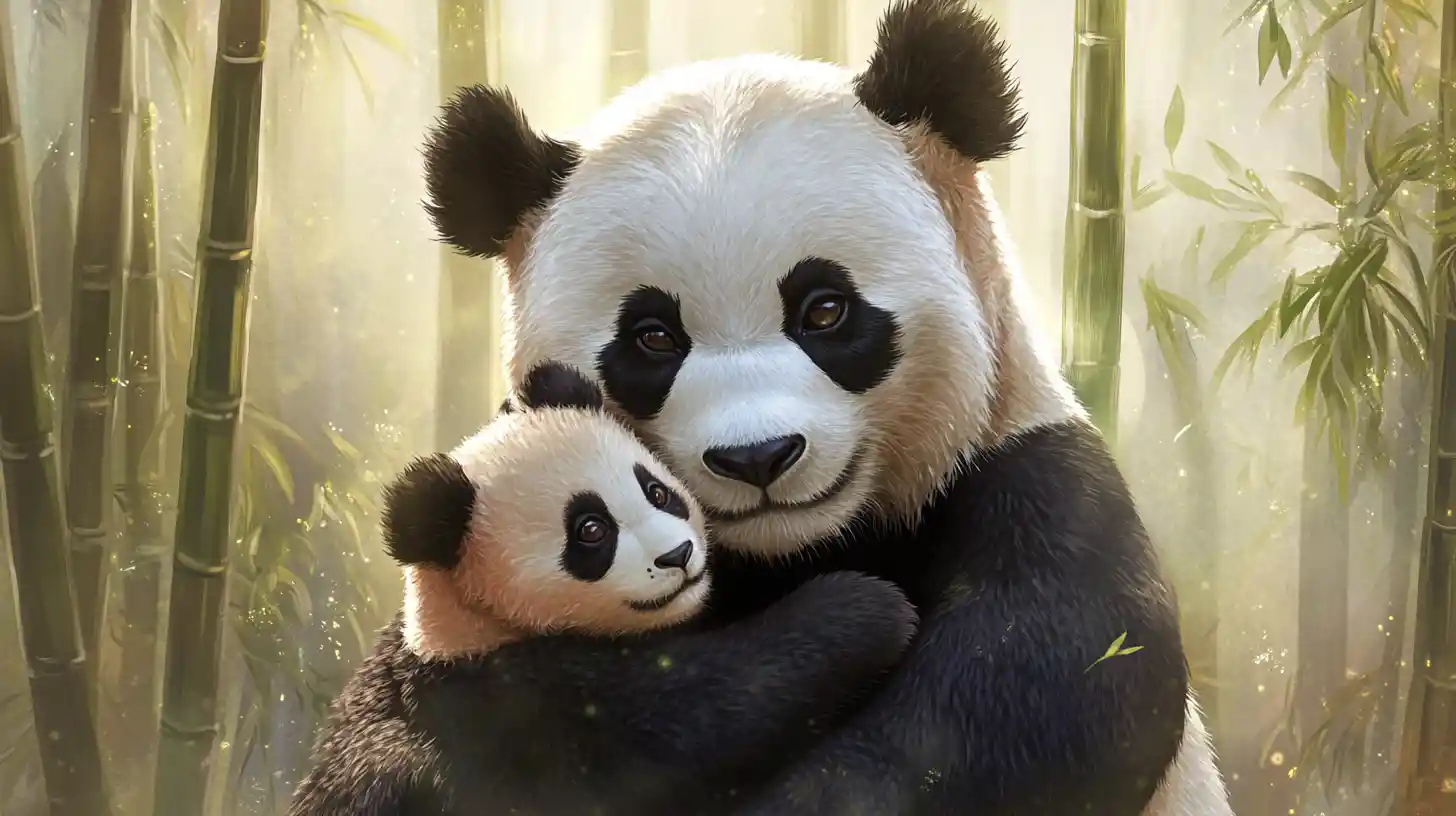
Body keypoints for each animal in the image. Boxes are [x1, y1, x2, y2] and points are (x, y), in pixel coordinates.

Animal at [288, 361, 921, 815]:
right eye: (591, 530)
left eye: (657, 490)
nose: (679, 556)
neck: (464, 620)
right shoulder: (514, 711)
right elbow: (695, 716)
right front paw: (868, 611)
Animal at [419, 0, 1235, 813]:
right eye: (653, 338)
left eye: (824, 310)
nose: (757, 458)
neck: (805, 547)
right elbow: (564, 721)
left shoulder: (1035, 488)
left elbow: (1029, 700)